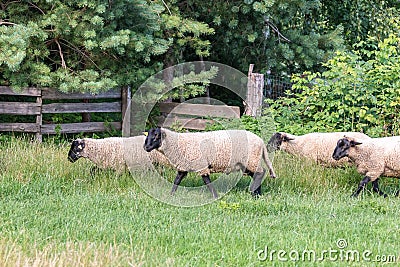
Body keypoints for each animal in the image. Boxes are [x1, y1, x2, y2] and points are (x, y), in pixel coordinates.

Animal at [142, 127, 276, 199]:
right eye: (148, 135)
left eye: (156, 136)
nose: (145, 147)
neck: (177, 144)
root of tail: (260, 141)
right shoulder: (184, 166)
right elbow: (177, 180)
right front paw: (171, 195)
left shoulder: (201, 165)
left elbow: (207, 181)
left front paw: (215, 196)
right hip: (248, 162)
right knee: (257, 174)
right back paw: (256, 193)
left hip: (251, 160)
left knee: (260, 173)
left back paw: (255, 194)